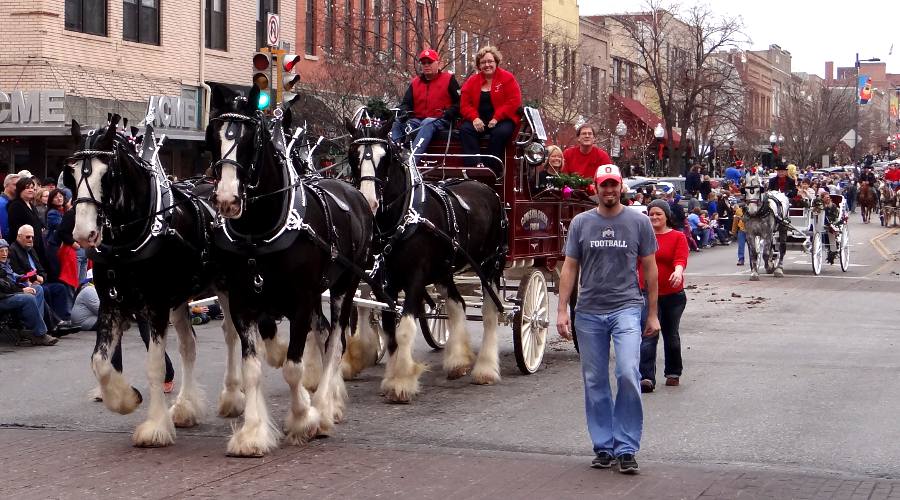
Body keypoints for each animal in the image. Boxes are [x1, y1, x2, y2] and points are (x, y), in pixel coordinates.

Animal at [68, 114, 243, 450]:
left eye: (107, 174)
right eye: (70, 172)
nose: (84, 234)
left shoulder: (157, 304)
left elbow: (155, 365)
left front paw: (155, 427)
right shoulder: (112, 303)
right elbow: (100, 361)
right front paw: (125, 399)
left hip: (226, 289)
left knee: (230, 336)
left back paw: (232, 397)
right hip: (181, 297)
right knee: (189, 346)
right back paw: (186, 407)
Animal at [205, 87, 372, 458]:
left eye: (251, 139)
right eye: (213, 137)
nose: (226, 199)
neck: (258, 233)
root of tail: (353, 191)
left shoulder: (299, 302)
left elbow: (294, 368)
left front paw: (304, 419)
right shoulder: (242, 302)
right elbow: (253, 369)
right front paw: (252, 434)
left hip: (345, 285)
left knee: (335, 340)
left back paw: (325, 406)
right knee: (323, 334)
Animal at [348, 112, 510, 402]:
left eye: (385, 158)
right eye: (353, 157)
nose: (369, 202)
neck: (402, 218)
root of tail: (485, 186)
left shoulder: (414, 278)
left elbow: (404, 328)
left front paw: (401, 382)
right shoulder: (384, 281)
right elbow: (389, 329)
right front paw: (392, 377)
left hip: (489, 264)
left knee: (491, 313)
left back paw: (486, 369)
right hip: (445, 268)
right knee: (457, 303)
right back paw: (458, 361)